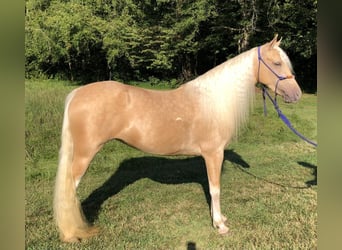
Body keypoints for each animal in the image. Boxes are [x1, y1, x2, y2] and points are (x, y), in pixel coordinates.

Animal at [53, 35, 302, 242]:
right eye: (277, 63)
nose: (297, 94)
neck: (213, 101)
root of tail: (76, 93)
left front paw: (218, 218)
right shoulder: (213, 154)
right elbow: (215, 189)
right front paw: (220, 225)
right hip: (84, 154)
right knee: (69, 191)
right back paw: (72, 232)